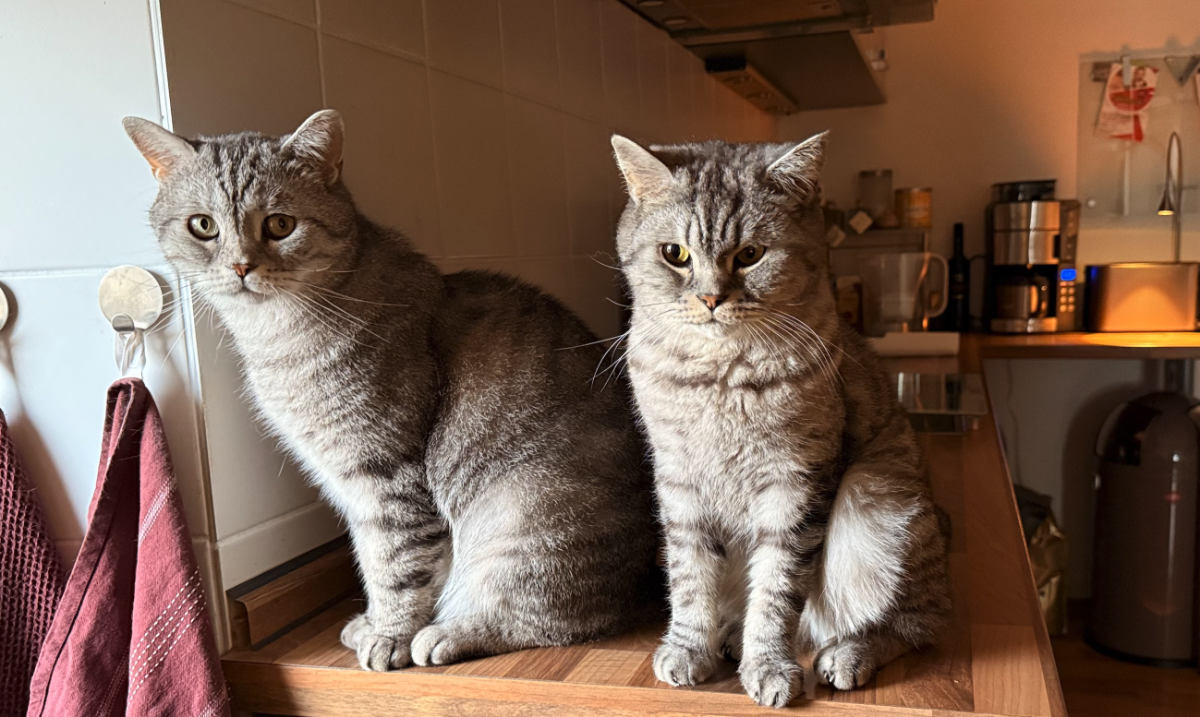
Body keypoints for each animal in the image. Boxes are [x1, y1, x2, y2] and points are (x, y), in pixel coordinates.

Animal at [123, 110, 658, 671]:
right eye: (203, 225)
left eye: (280, 224)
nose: (241, 266)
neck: (274, 336)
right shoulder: (349, 484)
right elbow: (372, 559)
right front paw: (374, 622)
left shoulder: (385, 473)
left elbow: (397, 565)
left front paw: (391, 635)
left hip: (523, 517)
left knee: (548, 617)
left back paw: (450, 632)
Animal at [610, 134, 951, 708]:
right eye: (674, 254)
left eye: (750, 255)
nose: (710, 298)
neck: (718, 376)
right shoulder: (678, 482)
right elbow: (690, 578)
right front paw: (689, 647)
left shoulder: (795, 483)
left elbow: (776, 590)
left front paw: (768, 664)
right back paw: (729, 636)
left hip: (876, 498)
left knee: (914, 622)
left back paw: (848, 654)